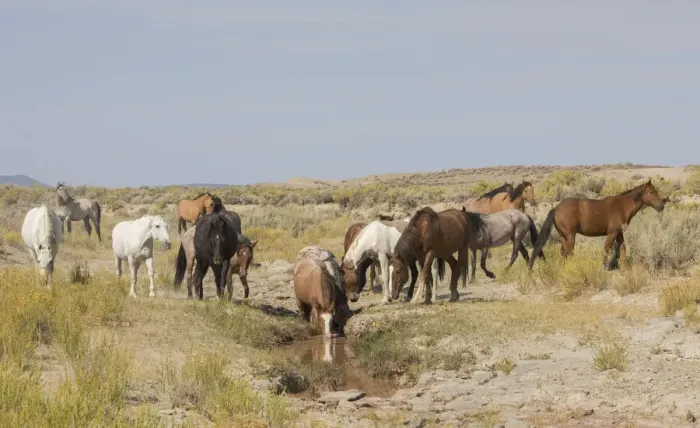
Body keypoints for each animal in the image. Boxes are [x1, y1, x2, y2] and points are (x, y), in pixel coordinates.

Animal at [528, 179, 666, 270]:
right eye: (651, 192)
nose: (661, 206)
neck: (621, 206)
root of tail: (556, 208)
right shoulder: (612, 233)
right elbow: (606, 249)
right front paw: (604, 267)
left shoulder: (619, 233)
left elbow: (623, 249)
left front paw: (624, 266)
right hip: (570, 236)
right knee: (569, 252)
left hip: (563, 236)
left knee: (564, 252)